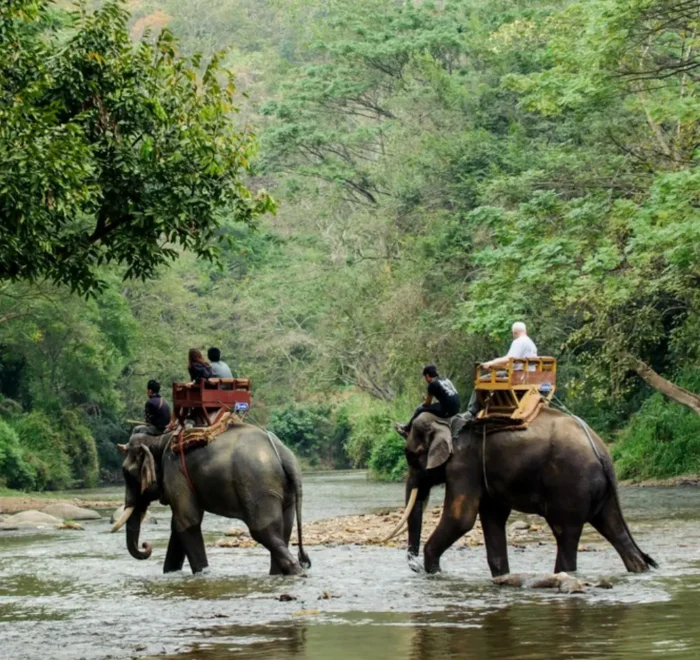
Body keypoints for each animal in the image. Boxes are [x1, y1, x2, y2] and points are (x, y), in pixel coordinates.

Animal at [111, 425, 310, 576]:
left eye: (126, 473)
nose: (145, 545)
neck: (160, 439)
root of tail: (284, 454)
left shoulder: (176, 473)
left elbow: (187, 521)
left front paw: (202, 574)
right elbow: (178, 525)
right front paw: (170, 573)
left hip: (259, 486)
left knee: (263, 532)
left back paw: (297, 572)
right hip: (284, 490)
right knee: (283, 530)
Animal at [389, 408, 656, 576]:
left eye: (410, 456)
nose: (415, 566)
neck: (446, 420)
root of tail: (602, 452)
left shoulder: (463, 465)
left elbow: (460, 519)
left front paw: (435, 572)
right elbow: (492, 516)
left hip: (570, 485)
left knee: (565, 532)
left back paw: (563, 574)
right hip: (603, 492)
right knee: (613, 528)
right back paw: (638, 569)